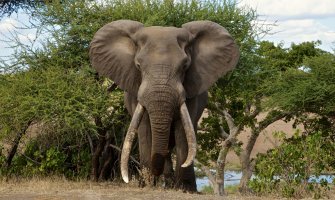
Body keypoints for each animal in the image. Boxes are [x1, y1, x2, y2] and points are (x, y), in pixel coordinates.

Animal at [89, 19, 240, 191]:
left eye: (185, 66)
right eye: (138, 65)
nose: (154, 176)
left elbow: (183, 130)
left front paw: (186, 190)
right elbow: (145, 128)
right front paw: (146, 185)